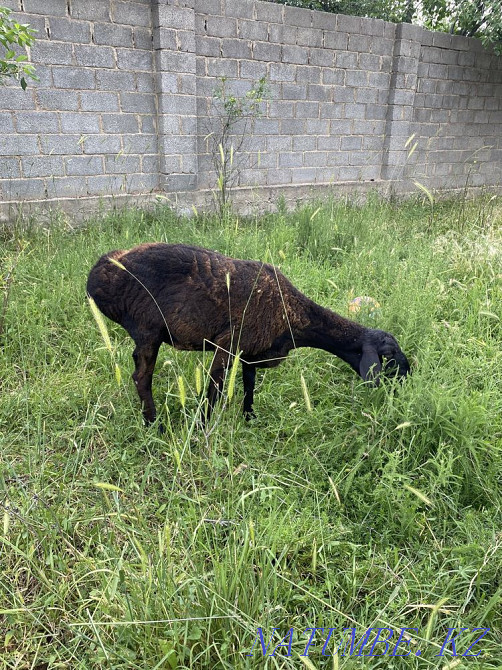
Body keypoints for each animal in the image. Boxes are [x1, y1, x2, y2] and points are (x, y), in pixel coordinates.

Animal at [87, 242, 410, 426]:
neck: (293, 316)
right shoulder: (227, 345)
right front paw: (201, 429)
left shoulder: (250, 353)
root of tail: (97, 273)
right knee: (141, 377)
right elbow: (213, 392)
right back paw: (155, 425)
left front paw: (249, 418)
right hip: (148, 329)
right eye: (389, 355)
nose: (407, 380)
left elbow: (249, 386)